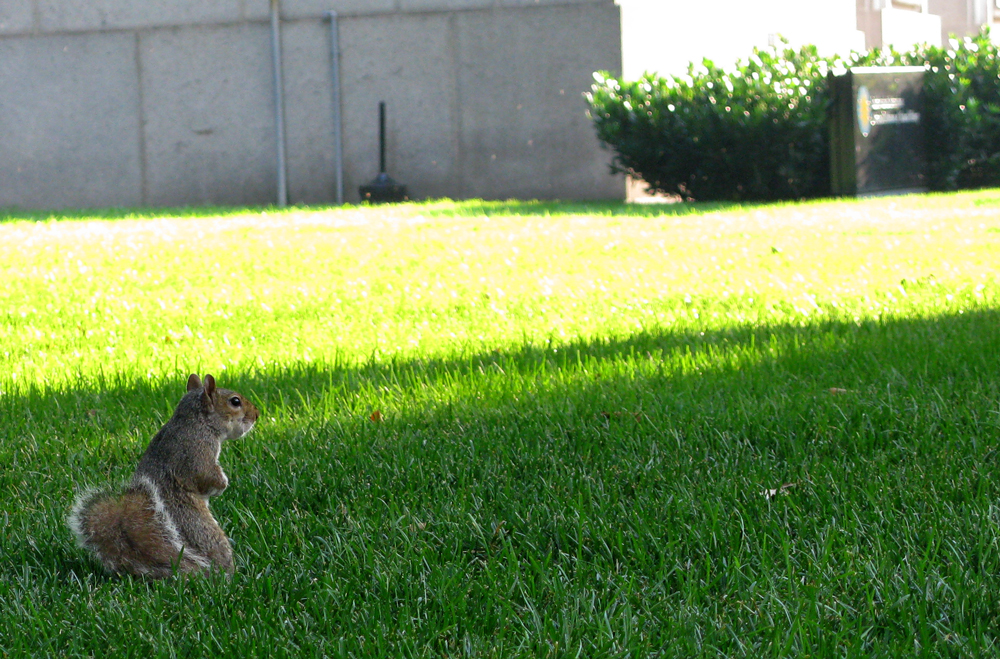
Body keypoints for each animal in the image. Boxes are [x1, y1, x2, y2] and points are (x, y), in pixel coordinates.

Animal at [68, 374, 259, 579]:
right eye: (235, 401)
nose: (256, 414)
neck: (197, 420)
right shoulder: (198, 449)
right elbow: (203, 475)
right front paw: (223, 484)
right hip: (204, 532)